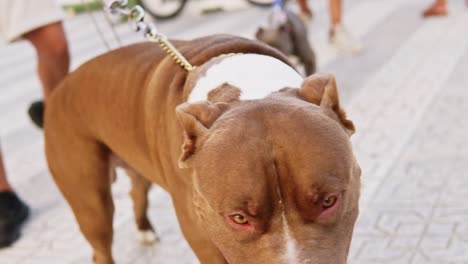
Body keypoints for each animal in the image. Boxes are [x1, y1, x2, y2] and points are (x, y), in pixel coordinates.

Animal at [44, 35, 360, 264]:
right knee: (100, 241)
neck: (247, 88)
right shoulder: (203, 238)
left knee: (137, 189)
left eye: (329, 201)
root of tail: (59, 89)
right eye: (239, 218)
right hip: (90, 201)